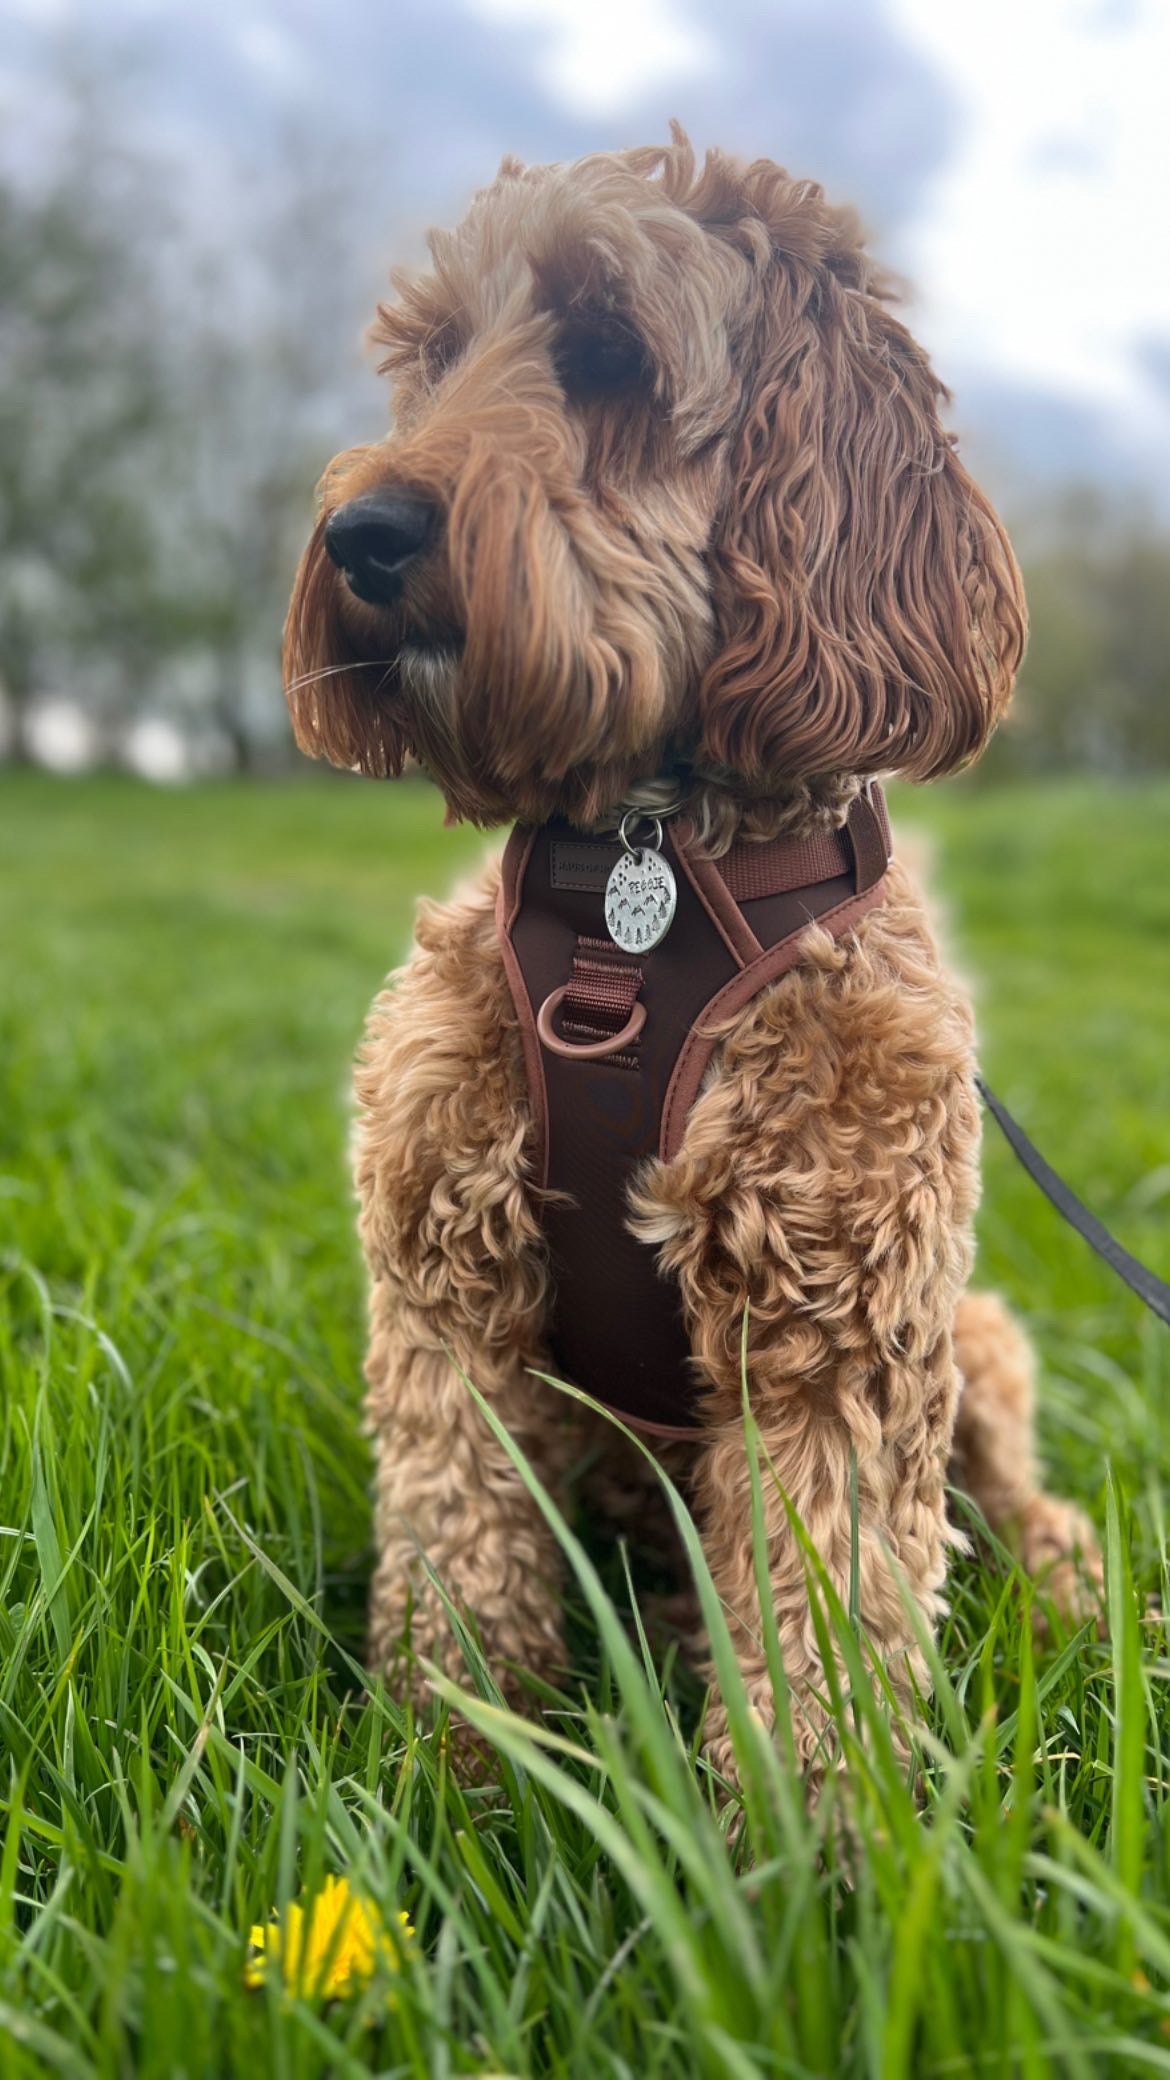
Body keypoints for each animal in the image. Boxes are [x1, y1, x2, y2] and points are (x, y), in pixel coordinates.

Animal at [281, 130, 1090, 1788]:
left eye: (606, 353)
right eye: (432, 358)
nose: (359, 536)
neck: (634, 888)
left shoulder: (835, 1335)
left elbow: (824, 1625)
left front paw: (805, 1838)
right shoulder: (444, 1290)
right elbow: (459, 1559)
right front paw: (455, 1777)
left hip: (969, 1337)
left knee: (1016, 1502)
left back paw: (1074, 1594)